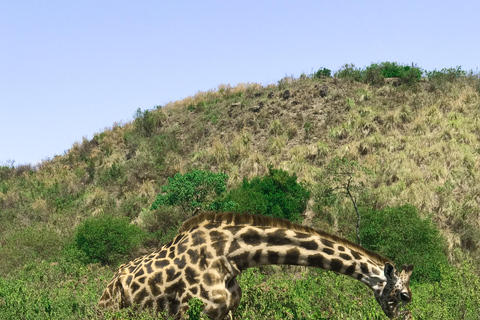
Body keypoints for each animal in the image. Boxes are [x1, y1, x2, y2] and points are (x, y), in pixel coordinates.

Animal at [97, 211, 412, 318]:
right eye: (405, 296)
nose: (406, 319)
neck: (231, 255)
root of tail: (109, 283)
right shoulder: (187, 312)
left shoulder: (226, 311)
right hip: (109, 311)